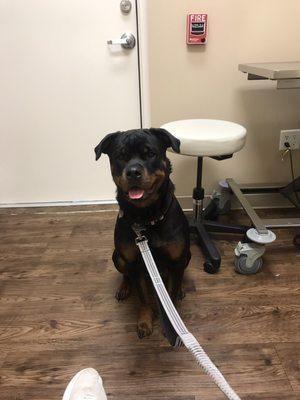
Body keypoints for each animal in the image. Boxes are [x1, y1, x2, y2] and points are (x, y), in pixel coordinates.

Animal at [95, 127, 191, 338]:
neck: (146, 217)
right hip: (117, 257)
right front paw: (145, 322)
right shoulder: (134, 263)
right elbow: (144, 298)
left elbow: (171, 295)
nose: (133, 172)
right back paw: (124, 288)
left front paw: (173, 327)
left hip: (186, 256)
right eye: (120, 156)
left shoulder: (176, 258)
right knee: (125, 275)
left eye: (150, 154)